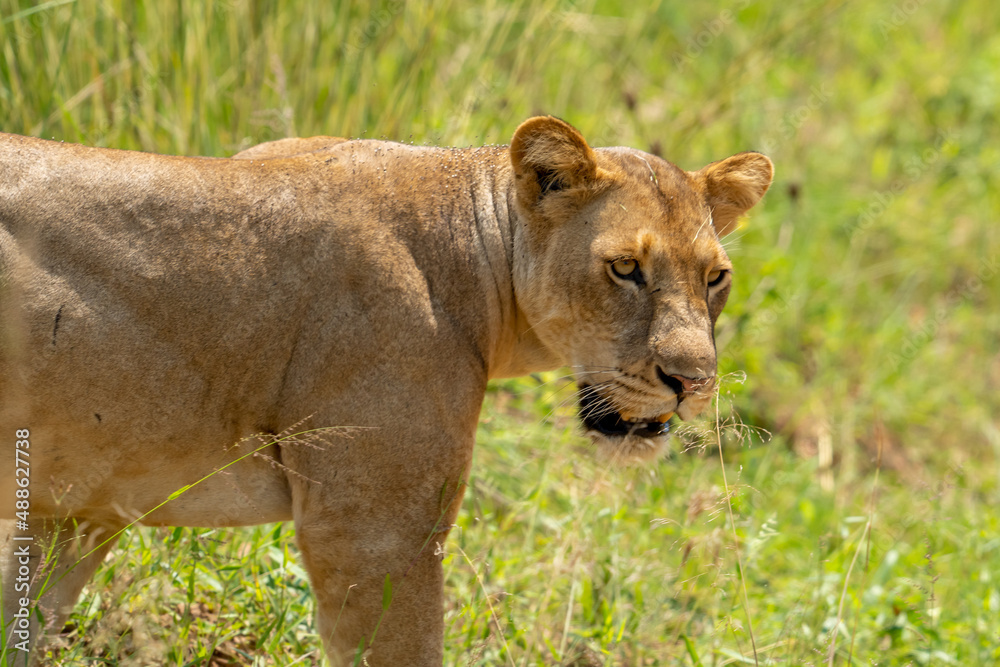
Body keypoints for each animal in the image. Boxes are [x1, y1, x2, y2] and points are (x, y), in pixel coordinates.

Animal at [0, 116, 772, 665]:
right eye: (624, 269)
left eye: (715, 277)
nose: (694, 380)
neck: (480, 264)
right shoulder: (374, 533)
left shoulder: (81, 502)